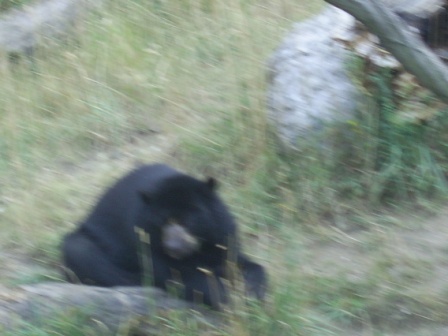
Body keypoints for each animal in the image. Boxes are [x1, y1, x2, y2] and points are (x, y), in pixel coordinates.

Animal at [62, 164, 266, 308]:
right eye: (162, 222)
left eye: (187, 222)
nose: (173, 247)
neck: (197, 249)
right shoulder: (144, 240)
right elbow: (178, 276)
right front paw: (230, 299)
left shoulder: (222, 234)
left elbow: (236, 260)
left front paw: (253, 290)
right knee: (84, 253)